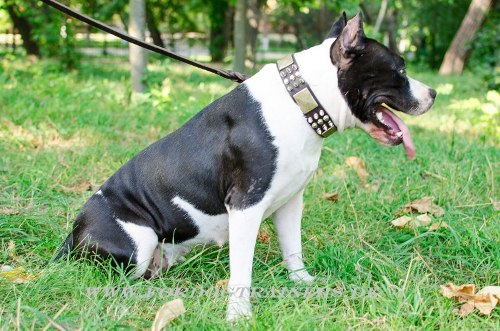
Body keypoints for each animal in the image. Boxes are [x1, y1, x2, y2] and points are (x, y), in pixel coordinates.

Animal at [56, 13, 436, 322]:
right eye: (401, 69)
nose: (433, 92)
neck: (301, 101)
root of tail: (72, 234)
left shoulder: (291, 201)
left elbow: (293, 247)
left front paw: (302, 281)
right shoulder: (245, 206)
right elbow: (242, 270)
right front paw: (238, 314)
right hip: (140, 240)